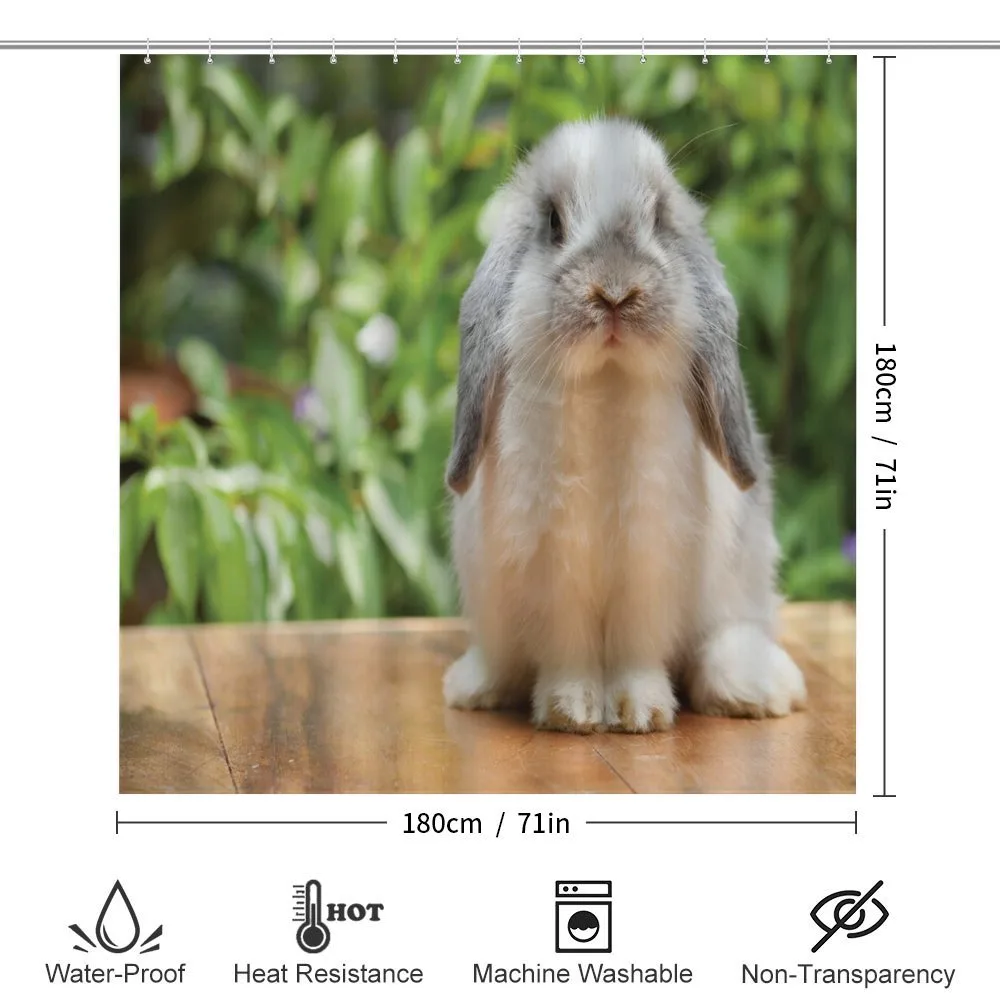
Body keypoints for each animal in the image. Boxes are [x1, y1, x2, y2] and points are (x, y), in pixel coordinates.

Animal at [442, 118, 806, 733]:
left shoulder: (650, 567)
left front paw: (642, 712)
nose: (614, 292)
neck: (605, 387)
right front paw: (572, 711)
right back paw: (476, 686)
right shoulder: (553, 571)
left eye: (658, 219)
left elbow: (637, 652)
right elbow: (569, 652)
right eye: (553, 222)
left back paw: (757, 689)